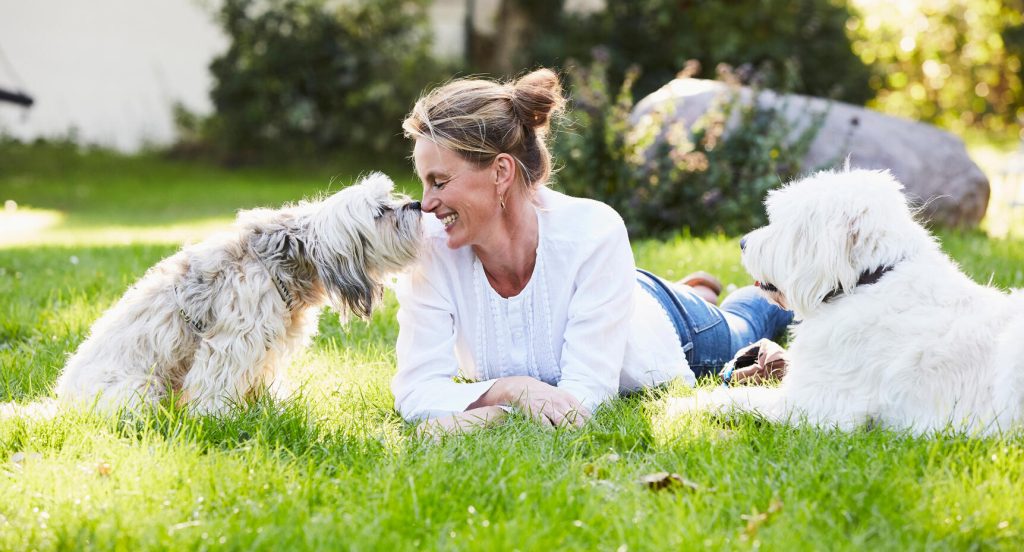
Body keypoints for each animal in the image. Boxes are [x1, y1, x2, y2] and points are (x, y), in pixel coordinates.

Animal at [50, 173, 419, 413]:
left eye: (393, 197)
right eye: (381, 211)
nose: (416, 204)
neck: (285, 256)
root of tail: (59, 407)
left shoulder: (267, 347)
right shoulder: (232, 342)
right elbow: (216, 384)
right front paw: (216, 419)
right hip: (139, 389)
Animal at [671, 168, 1024, 436]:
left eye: (782, 223)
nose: (742, 243)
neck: (869, 281)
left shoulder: (816, 406)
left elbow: (742, 397)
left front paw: (686, 403)